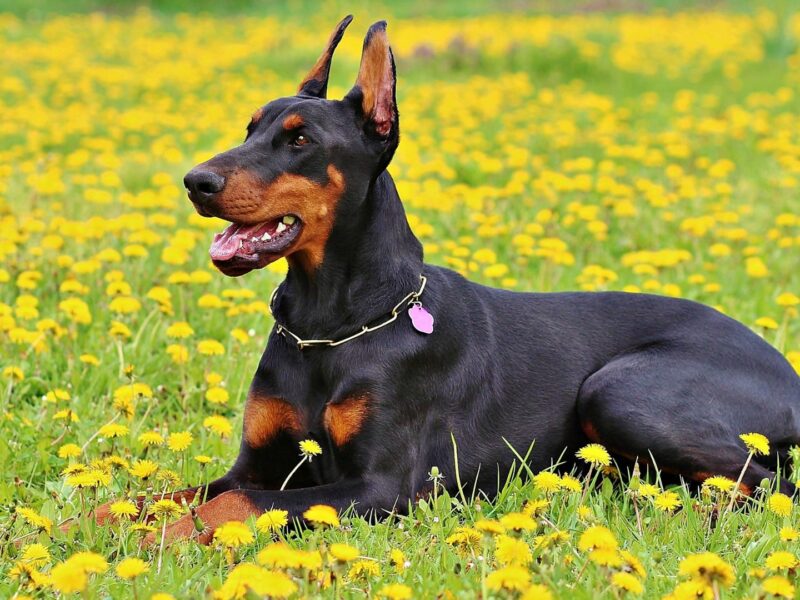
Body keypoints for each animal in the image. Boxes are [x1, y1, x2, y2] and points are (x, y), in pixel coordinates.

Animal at [122, 15, 800, 544]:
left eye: (300, 139)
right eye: (250, 127)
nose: (196, 181)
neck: (331, 324)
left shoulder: (381, 487)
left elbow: (229, 507)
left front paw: (161, 540)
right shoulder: (257, 465)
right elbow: (152, 496)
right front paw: (109, 526)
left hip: (618, 391)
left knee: (768, 486)